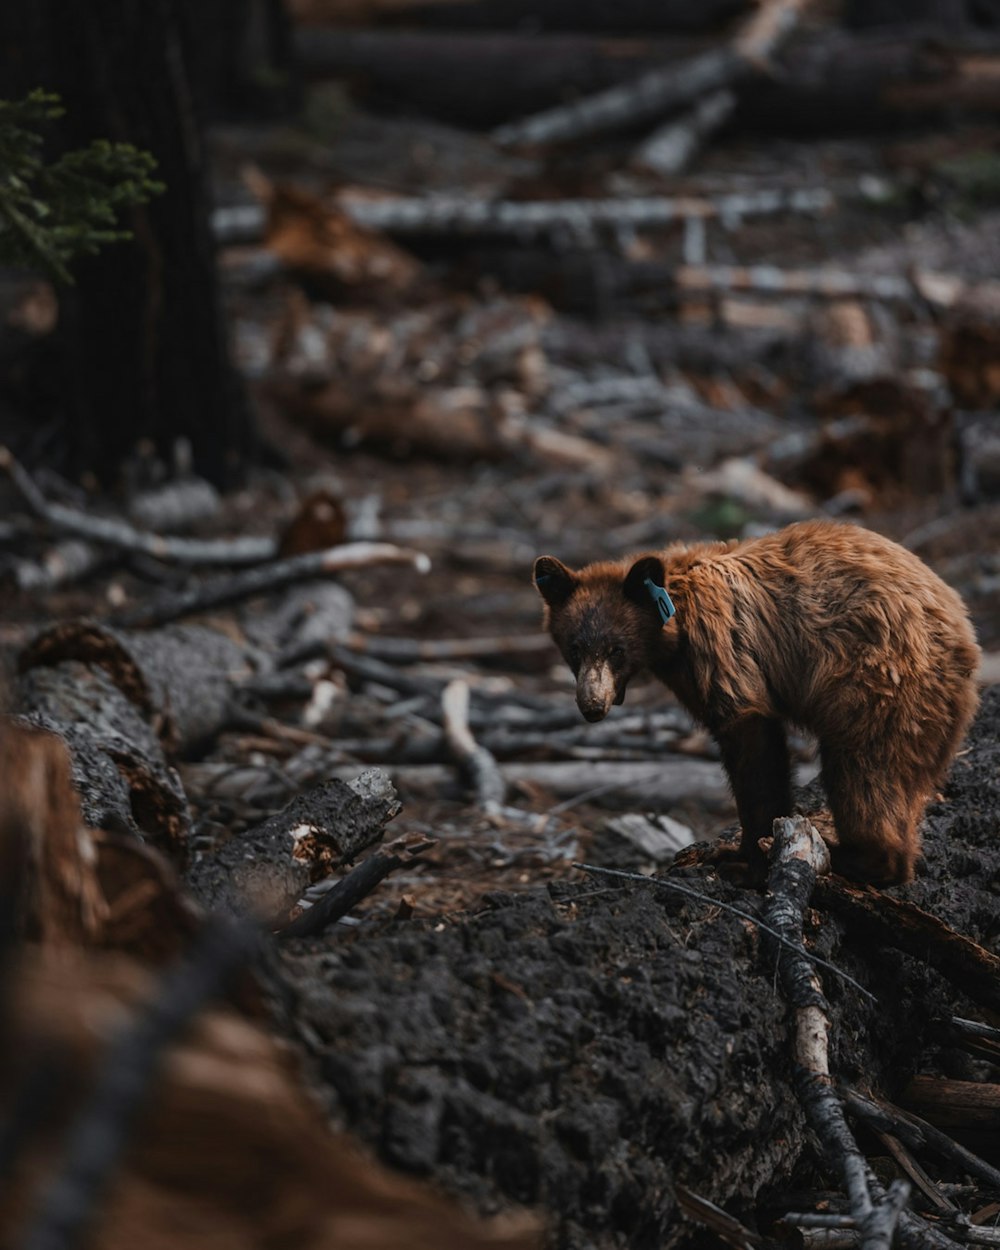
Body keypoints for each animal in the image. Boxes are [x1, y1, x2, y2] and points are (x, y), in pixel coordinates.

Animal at [535, 522, 980, 885]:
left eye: (616, 649)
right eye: (574, 648)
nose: (592, 706)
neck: (672, 626)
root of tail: (965, 635)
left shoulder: (721, 646)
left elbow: (751, 742)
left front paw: (746, 857)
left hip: (879, 683)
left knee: (865, 770)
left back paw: (853, 855)